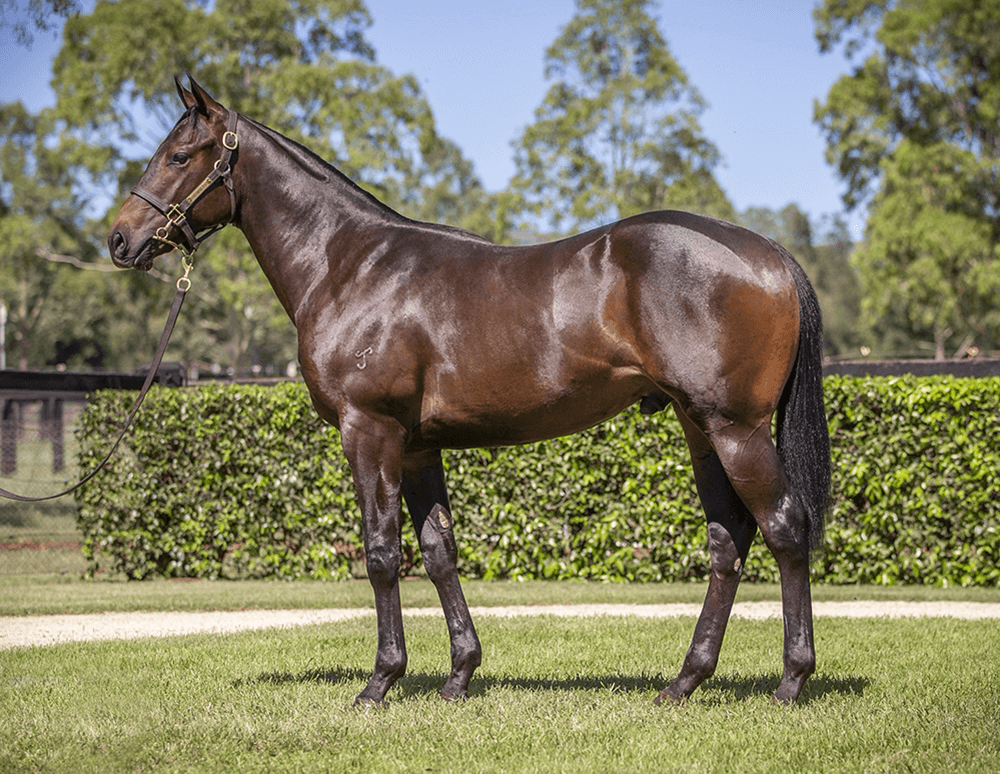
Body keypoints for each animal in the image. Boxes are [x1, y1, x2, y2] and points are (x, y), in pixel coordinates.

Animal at [109, 76, 832, 708]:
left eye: (179, 155)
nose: (120, 238)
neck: (350, 265)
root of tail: (770, 254)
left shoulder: (368, 430)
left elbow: (381, 554)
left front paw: (380, 682)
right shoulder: (416, 447)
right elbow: (438, 553)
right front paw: (459, 676)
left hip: (733, 428)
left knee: (784, 527)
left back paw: (791, 681)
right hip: (700, 428)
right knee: (728, 541)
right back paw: (684, 682)